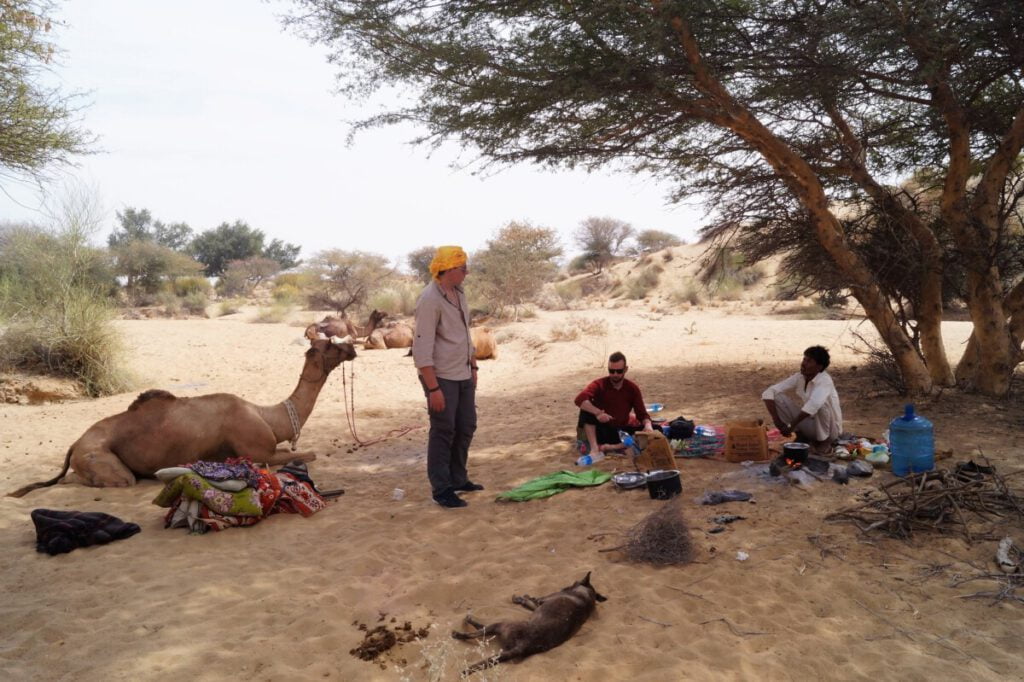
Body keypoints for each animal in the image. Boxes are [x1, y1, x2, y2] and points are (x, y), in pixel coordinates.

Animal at [7, 333, 356, 493]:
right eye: (329, 345)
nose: (352, 347)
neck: (267, 415)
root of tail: (74, 445)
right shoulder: (258, 451)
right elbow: (307, 455)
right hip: (100, 459)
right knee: (105, 480)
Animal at [450, 569, 606, 675]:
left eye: (574, 582)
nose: (565, 587)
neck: (585, 596)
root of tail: (524, 645)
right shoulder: (539, 605)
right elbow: (530, 602)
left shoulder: (542, 601)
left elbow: (530, 600)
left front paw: (521, 598)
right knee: (483, 631)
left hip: (503, 624)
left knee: (478, 632)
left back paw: (461, 629)